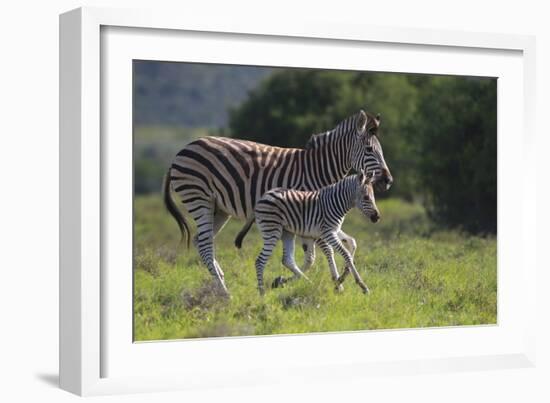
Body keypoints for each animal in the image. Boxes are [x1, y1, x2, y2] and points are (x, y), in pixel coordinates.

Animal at [163, 110, 392, 296]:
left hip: (218, 209)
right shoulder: (310, 215)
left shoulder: (312, 218)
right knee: (204, 242)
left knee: (202, 241)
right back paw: (225, 291)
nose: (388, 181)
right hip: (199, 198)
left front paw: (339, 278)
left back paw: (219, 280)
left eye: (380, 150)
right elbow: (320, 254)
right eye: (369, 149)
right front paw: (338, 283)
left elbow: (346, 245)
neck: (317, 169)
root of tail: (181, 151)